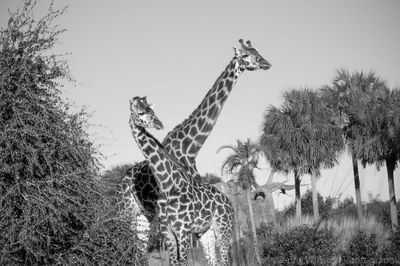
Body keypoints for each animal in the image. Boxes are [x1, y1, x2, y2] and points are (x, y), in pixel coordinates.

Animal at [128, 96, 234, 264]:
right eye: (141, 113)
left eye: (152, 111)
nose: (159, 124)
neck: (166, 183)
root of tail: (229, 203)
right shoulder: (167, 232)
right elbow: (173, 262)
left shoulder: (183, 231)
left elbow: (183, 262)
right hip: (206, 232)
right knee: (214, 261)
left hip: (223, 229)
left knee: (225, 260)